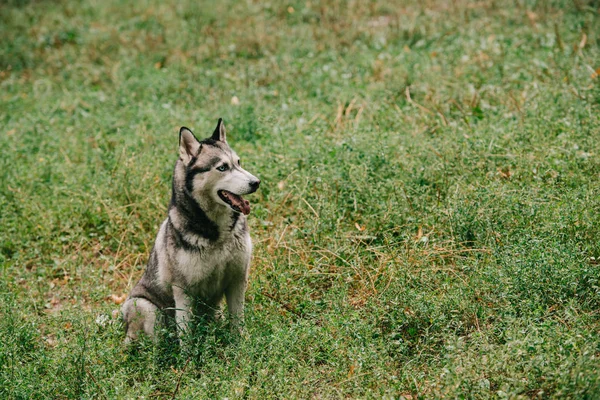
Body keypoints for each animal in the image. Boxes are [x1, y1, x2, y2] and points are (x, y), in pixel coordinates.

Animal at [122, 119, 260, 344]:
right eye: (222, 167)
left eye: (239, 162)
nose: (256, 182)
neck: (219, 235)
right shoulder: (183, 291)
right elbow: (186, 335)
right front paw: (189, 354)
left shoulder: (237, 279)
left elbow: (237, 321)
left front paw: (241, 345)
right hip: (144, 307)